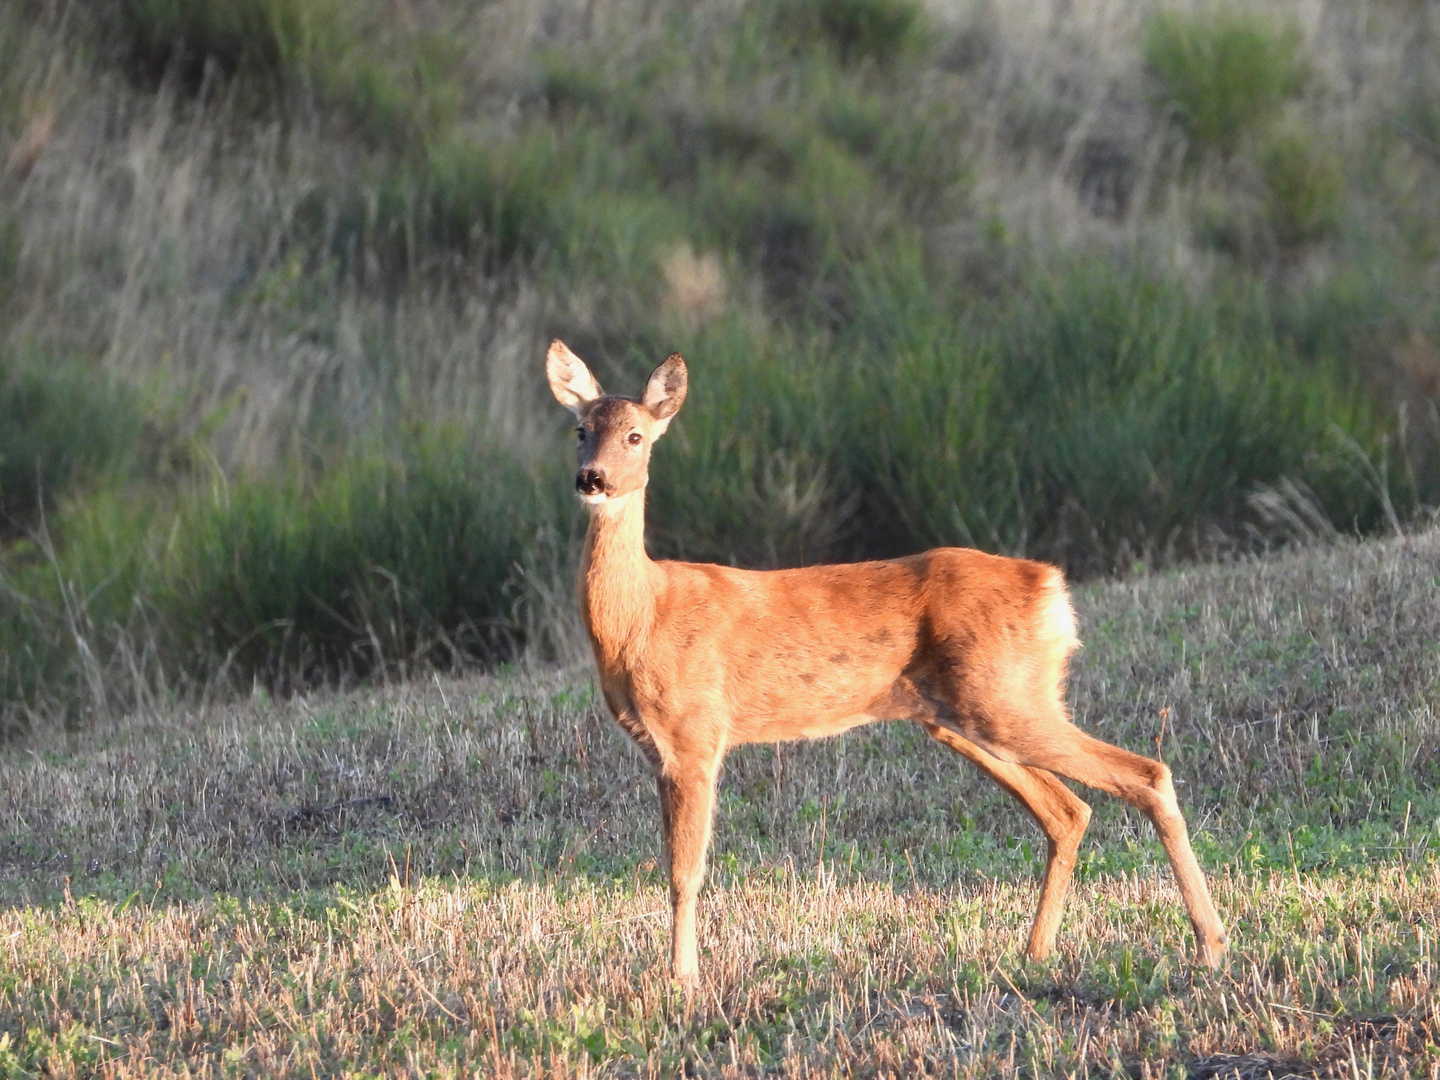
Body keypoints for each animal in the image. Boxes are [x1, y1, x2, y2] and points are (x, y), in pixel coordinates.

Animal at [544, 339, 1232, 990]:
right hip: (965, 716)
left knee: (1147, 773)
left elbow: (685, 872)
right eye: (580, 430)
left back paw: (1210, 947)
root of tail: (1051, 589)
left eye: (636, 435)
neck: (642, 618)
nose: (592, 479)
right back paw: (1036, 953)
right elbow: (674, 868)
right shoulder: (657, 748)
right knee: (1068, 810)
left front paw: (682, 979)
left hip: (1005, 701)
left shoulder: (696, 733)